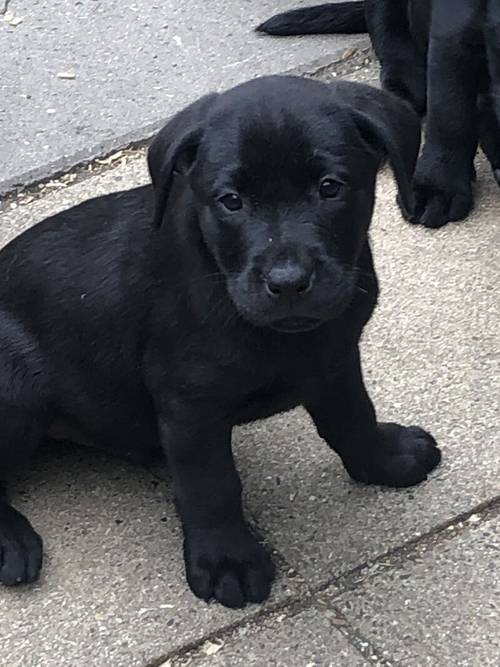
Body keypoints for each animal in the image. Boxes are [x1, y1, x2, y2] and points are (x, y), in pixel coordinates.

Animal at [0, 75, 442, 608]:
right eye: (231, 200)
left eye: (329, 188)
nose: (287, 282)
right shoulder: (191, 406)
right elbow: (212, 485)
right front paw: (227, 561)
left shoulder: (334, 360)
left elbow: (353, 417)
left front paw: (386, 460)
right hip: (16, 395)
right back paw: (11, 541)